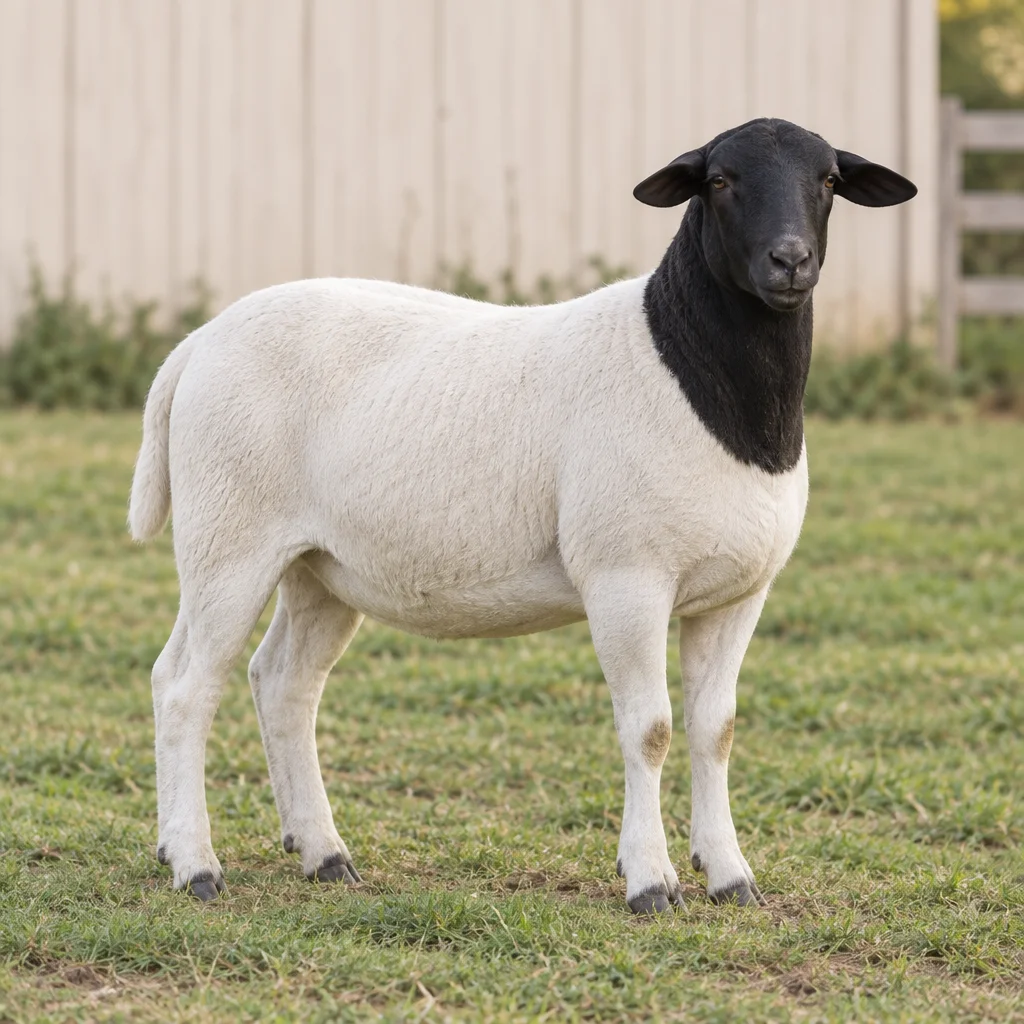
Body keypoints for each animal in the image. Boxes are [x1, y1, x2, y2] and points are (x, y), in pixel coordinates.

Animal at [129, 118, 917, 913]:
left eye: (828, 180)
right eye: (719, 180)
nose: (790, 260)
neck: (702, 380)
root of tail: (196, 345)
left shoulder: (738, 592)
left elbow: (714, 729)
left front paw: (729, 874)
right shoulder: (625, 579)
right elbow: (651, 730)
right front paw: (651, 881)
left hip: (319, 566)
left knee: (283, 684)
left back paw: (322, 853)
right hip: (228, 539)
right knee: (186, 687)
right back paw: (194, 864)